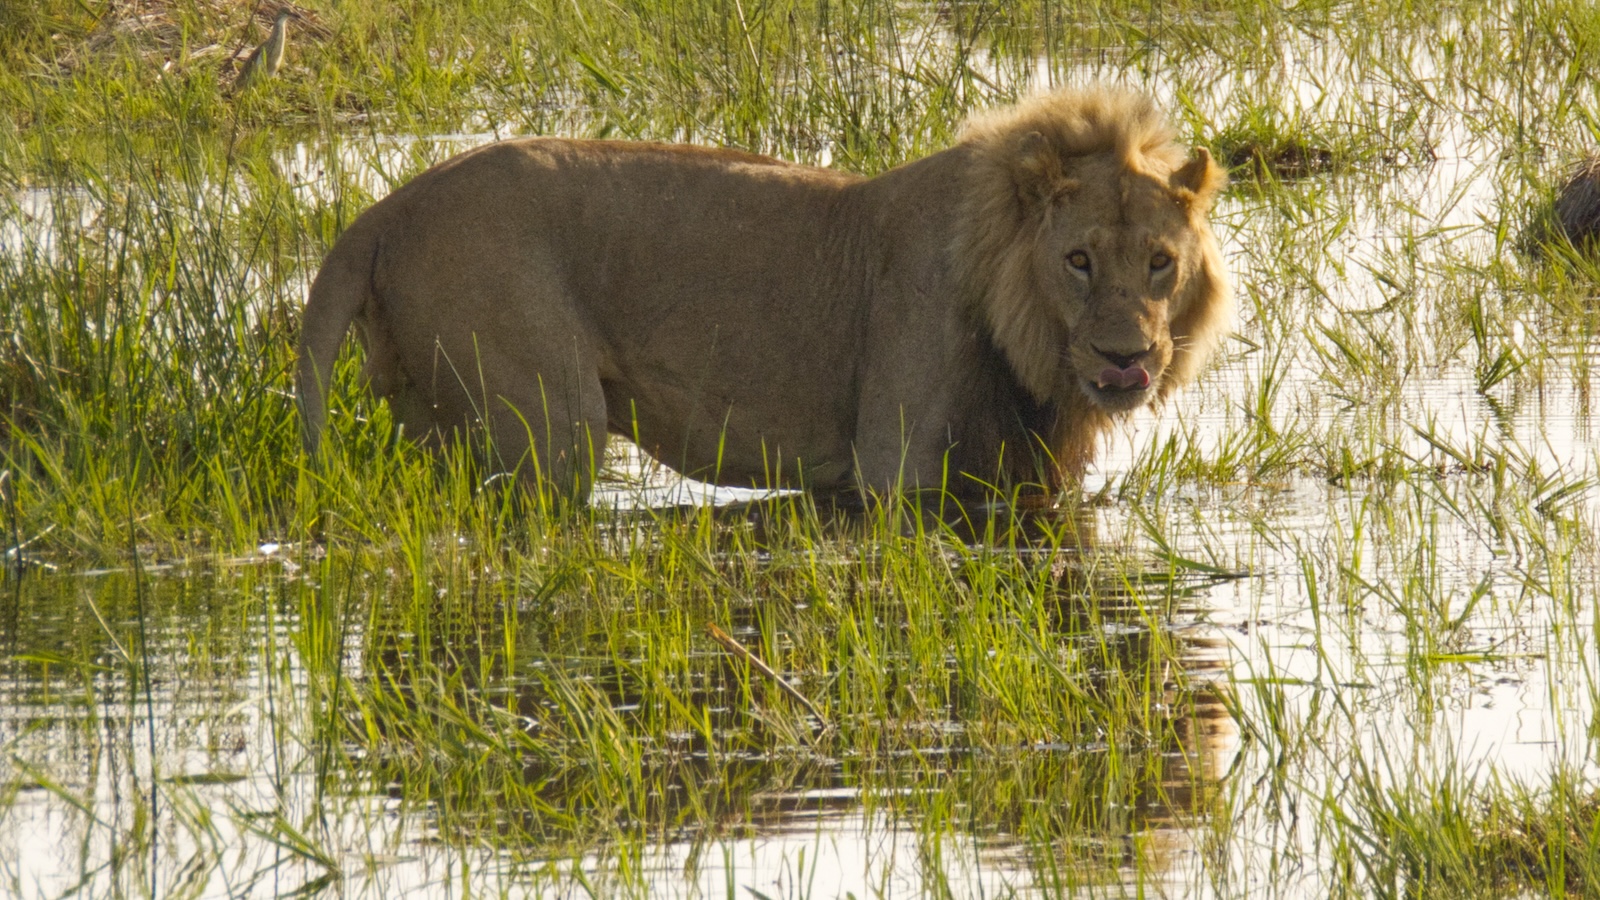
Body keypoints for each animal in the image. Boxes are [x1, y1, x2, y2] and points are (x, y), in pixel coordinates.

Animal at [294, 85, 1228, 496]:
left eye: (1159, 262)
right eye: (1078, 260)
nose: (1126, 358)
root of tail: (385, 208)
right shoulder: (893, 465)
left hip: (431, 420)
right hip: (548, 419)